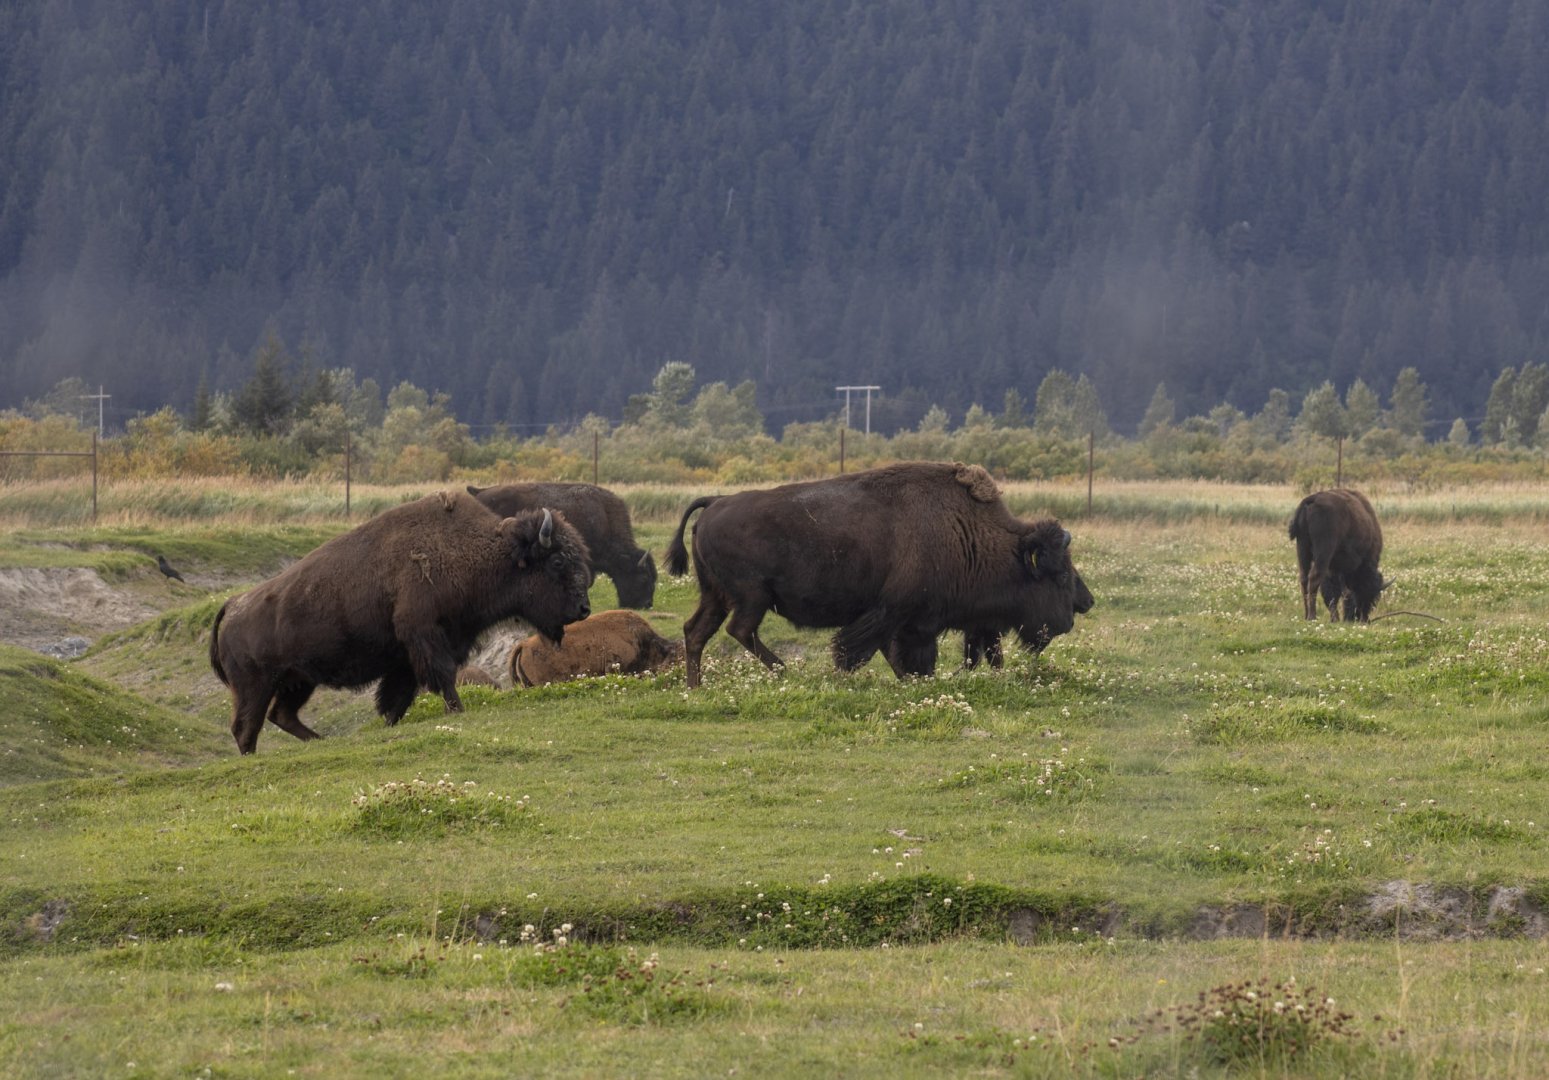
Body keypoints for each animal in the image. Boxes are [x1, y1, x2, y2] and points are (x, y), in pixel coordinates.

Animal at [209, 490, 591, 754]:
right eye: (557, 562)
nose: (584, 608)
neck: (473, 552)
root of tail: (233, 604)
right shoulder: (425, 637)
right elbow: (441, 678)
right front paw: (457, 711)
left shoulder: (412, 656)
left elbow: (397, 698)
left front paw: (389, 725)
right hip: (255, 685)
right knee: (246, 726)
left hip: (298, 680)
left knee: (281, 716)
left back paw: (319, 740)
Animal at [664, 462, 1094, 688]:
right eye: (1059, 575)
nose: (1084, 605)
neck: (968, 533)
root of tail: (716, 502)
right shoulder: (900, 616)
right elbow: (869, 650)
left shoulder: (907, 619)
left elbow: (898, 655)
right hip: (752, 597)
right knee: (739, 630)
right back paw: (783, 669)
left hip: (716, 595)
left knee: (696, 631)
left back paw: (695, 686)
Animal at [1288, 487, 1387, 621]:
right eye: (1370, 592)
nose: (1364, 619)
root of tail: (1311, 500)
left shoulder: (1336, 569)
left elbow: (1334, 593)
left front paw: (1335, 618)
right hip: (1323, 552)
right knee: (1314, 578)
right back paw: (1312, 616)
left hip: (1302, 547)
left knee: (1304, 579)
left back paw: (1306, 615)